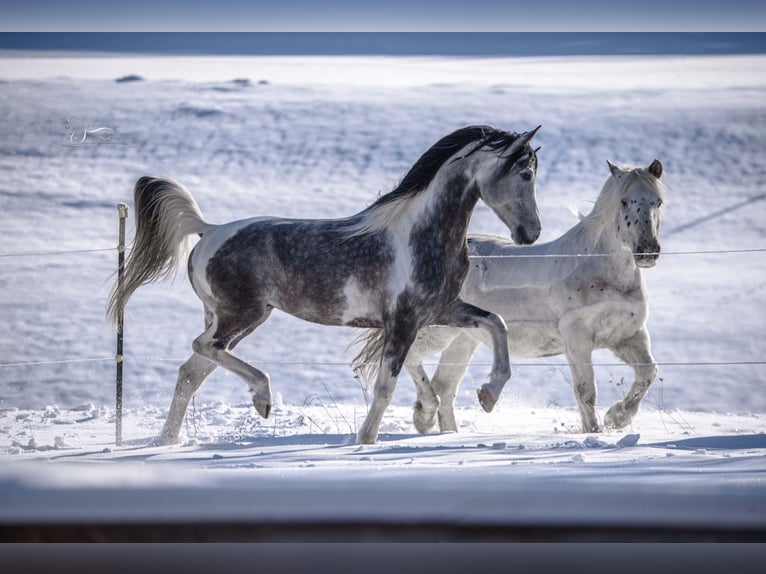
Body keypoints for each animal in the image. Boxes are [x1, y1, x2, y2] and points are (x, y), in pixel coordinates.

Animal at [107, 124, 543, 445]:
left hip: (227, 317)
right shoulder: (402, 321)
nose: (531, 233)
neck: (422, 235)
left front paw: (487, 395)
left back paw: (168, 442)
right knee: (203, 350)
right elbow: (385, 386)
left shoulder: (441, 310)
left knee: (191, 371)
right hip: (243, 314)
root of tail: (208, 230)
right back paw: (262, 399)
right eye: (525, 174)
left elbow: (497, 323)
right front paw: (364, 441)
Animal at [353, 159, 665, 434]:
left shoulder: (628, 335)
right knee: (413, 361)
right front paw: (595, 432)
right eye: (624, 201)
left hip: (464, 339)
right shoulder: (577, 340)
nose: (647, 251)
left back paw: (449, 432)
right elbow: (585, 391)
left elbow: (648, 373)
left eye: (657, 202)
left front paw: (618, 418)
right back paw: (425, 417)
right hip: (437, 331)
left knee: (446, 386)